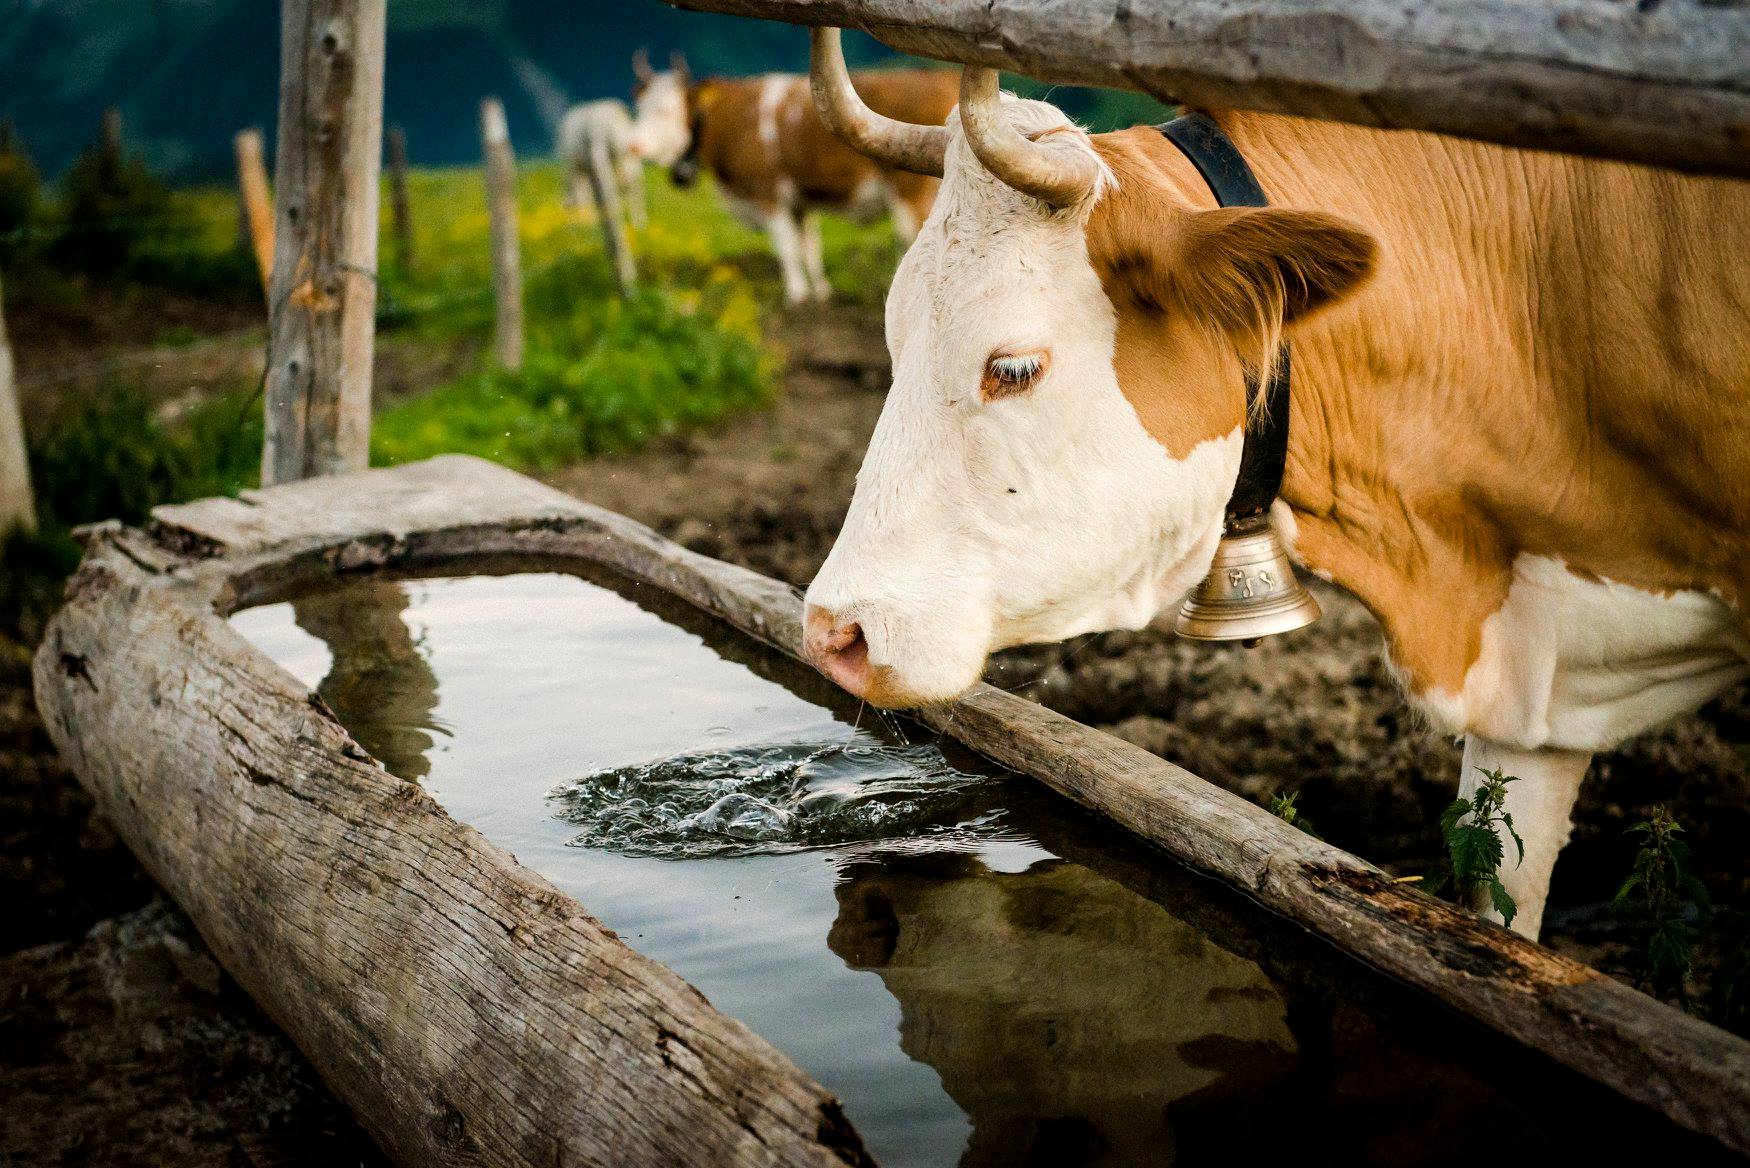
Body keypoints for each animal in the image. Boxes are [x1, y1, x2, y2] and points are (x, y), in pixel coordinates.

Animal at [625, 48, 957, 305]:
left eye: (667, 110)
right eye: (640, 107)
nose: (635, 145)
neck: (731, 119)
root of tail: (940, 77)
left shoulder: (767, 194)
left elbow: (786, 247)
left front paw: (795, 295)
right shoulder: (799, 202)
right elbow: (807, 245)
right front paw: (819, 290)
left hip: (910, 194)